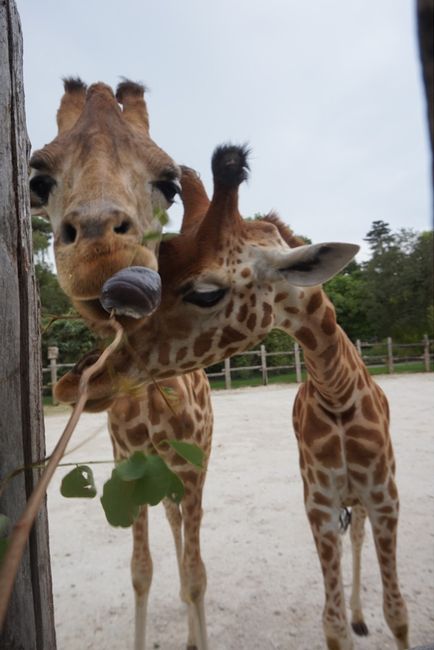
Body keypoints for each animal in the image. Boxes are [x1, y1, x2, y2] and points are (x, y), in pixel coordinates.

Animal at [29, 78, 214, 644]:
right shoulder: (131, 469)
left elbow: (197, 575)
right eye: (37, 181)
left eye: (170, 185)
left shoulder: (192, 468)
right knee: (171, 527)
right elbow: (140, 572)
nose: (100, 248)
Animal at [57, 146, 410, 648]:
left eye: (206, 293)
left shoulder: (378, 496)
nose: (75, 382)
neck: (338, 398)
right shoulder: (132, 469)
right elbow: (143, 571)